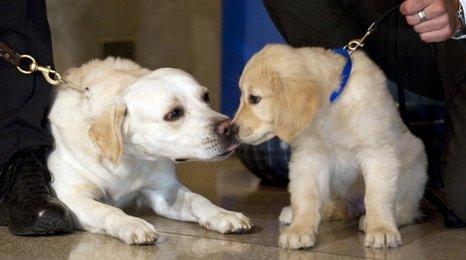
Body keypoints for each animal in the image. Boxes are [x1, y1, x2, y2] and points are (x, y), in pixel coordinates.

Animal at [47, 58, 251, 245]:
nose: (231, 128)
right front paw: (131, 223)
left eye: (206, 97)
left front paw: (222, 213)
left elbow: (198, 199)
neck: (130, 159)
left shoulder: (164, 190)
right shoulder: (72, 195)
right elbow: (106, 209)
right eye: (174, 114)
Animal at [235, 44, 428, 250]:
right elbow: (306, 195)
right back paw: (294, 213)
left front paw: (381, 229)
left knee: (406, 209)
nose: (232, 129)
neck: (330, 107)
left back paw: (376, 220)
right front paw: (299, 229)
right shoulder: (308, 157)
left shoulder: (377, 152)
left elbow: (376, 195)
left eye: (254, 98)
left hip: (413, 162)